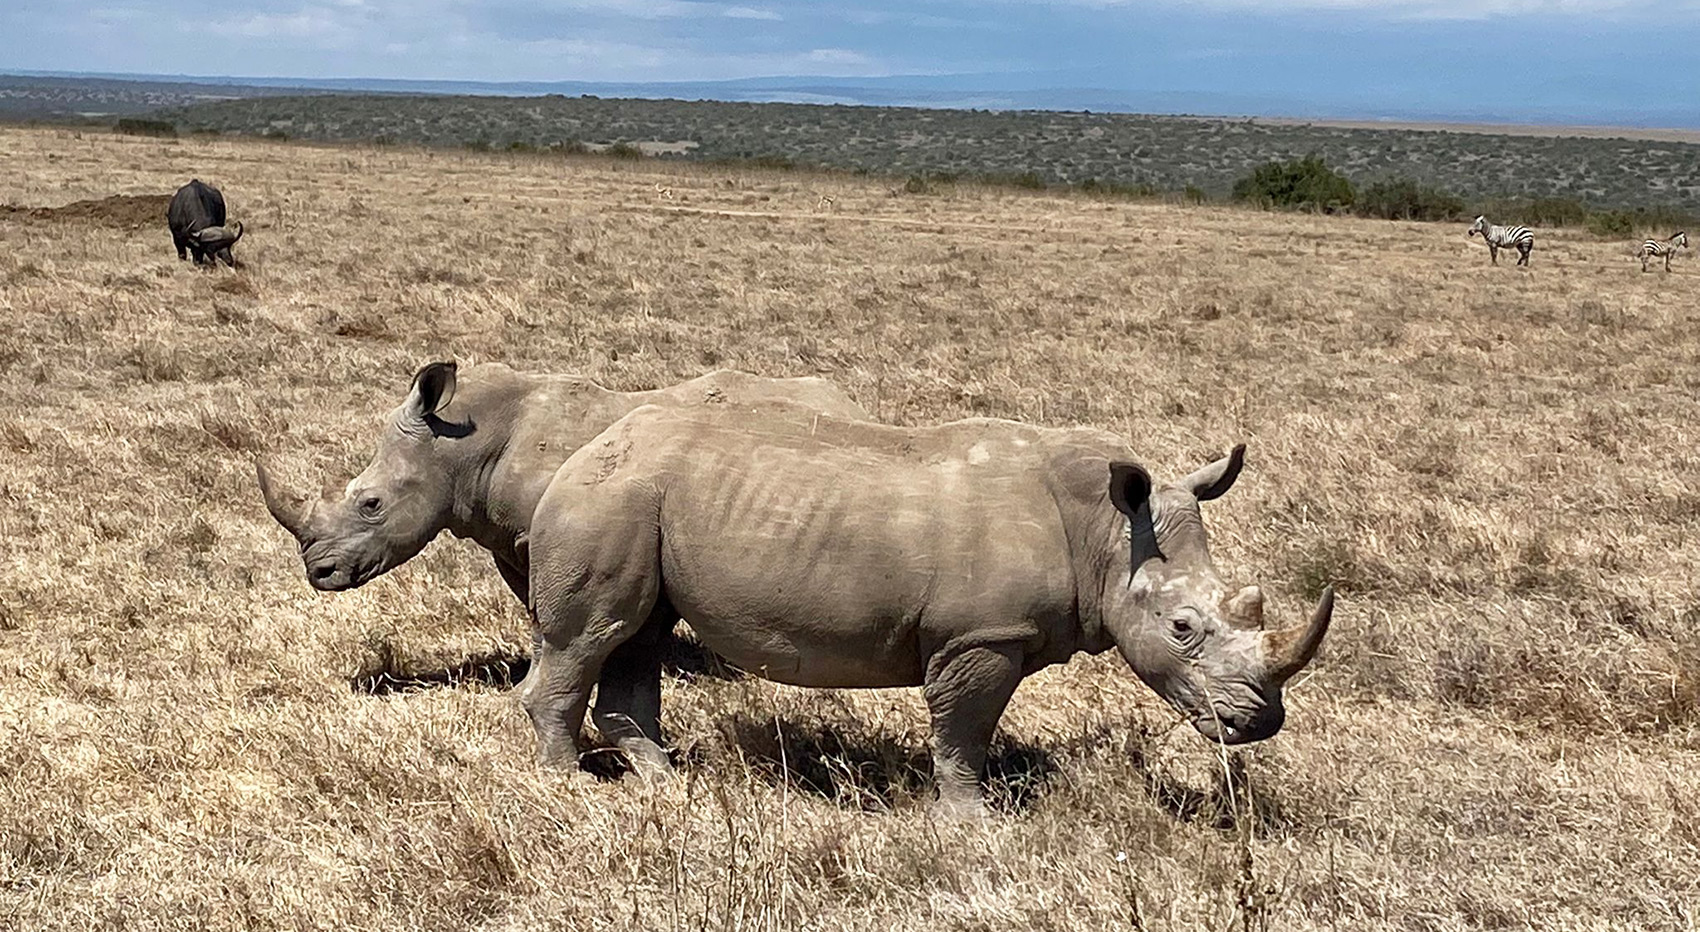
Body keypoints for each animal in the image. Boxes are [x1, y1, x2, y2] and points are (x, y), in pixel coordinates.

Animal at [523, 403, 1334, 813]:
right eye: (1183, 627)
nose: (1260, 722)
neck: (1108, 534)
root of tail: (588, 444)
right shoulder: (981, 635)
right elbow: (966, 729)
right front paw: (974, 822)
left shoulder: (983, 634)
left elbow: (964, 729)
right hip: (611, 496)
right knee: (594, 636)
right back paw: (572, 786)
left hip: (641, 498)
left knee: (641, 634)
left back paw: (664, 780)